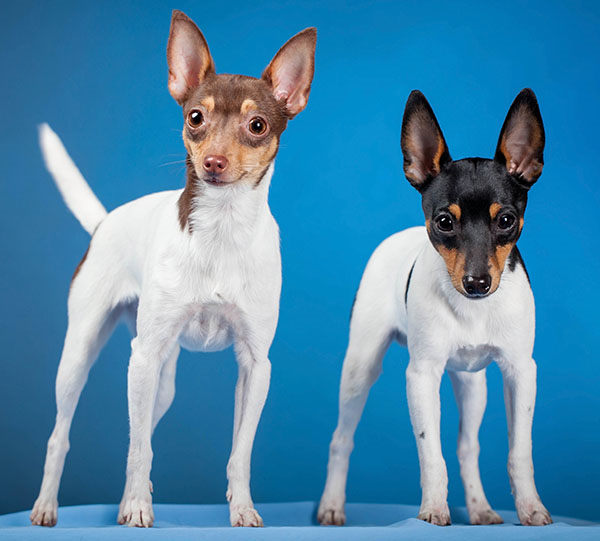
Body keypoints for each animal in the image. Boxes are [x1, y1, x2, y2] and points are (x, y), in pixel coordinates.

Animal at [30, 10, 316, 528]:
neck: (221, 229)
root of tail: (104, 222)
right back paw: (48, 507)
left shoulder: (255, 366)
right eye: (195, 117)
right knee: (67, 435)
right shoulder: (143, 355)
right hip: (85, 356)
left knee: (140, 431)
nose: (214, 163)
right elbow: (138, 449)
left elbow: (239, 452)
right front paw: (139, 509)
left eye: (258, 125)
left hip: (160, 381)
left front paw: (242, 508)